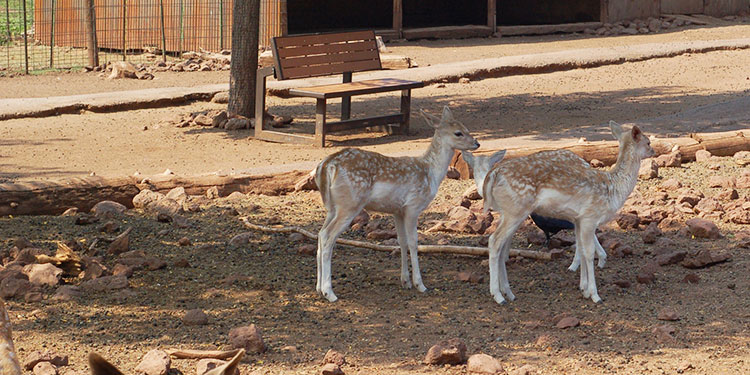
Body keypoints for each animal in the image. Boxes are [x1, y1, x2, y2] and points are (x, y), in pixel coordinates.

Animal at [312, 106, 478, 302]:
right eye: (458, 132)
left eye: (466, 127)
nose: (477, 143)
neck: (431, 173)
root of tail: (326, 166)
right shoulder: (413, 206)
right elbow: (414, 242)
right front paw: (420, 284)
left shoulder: (398, 210)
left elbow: (402, 242)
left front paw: (405, 281)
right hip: (349, 204)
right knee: (328, 237)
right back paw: (329, 292)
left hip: (332, 207)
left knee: (320, 233)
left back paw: (318, 288)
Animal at [468, 122, 656, 304]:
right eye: (648, 142)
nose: (653, 151)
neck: (613, 189)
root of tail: (492, 175)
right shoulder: (590, 216)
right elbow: (589, 253)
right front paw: (595, 295)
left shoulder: (578, 220)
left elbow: (581, 248)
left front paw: (584, 289)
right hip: (516, 209)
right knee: (494, 241)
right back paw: (498, 296)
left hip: (508, 212)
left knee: (501, 245)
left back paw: (508, 293)